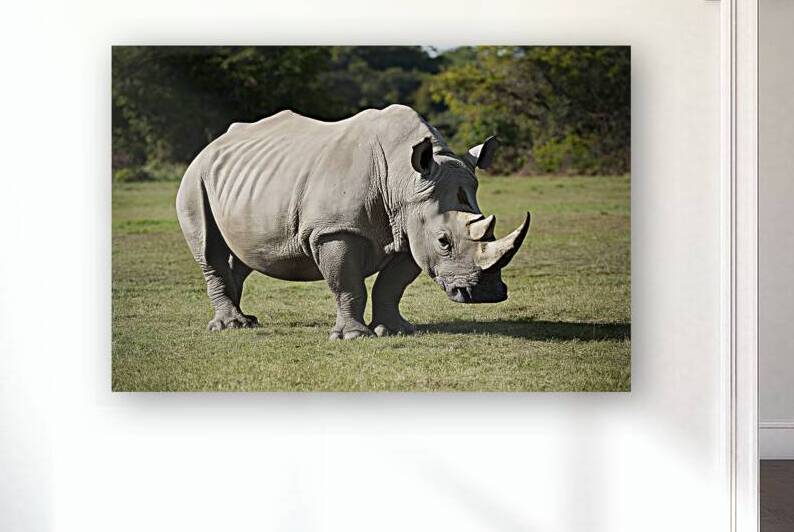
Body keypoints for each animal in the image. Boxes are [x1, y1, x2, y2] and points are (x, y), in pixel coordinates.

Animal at [176, 104, 530, 339]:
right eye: (444, 242)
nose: (487, 293)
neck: (404, 180)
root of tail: (211, 146)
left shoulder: (411, 228)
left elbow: (392, 285)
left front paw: (396, 330)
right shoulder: (335, 231)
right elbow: (347, 284)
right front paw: (354, 336)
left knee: (243, 253)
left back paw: (246, 321)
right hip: (195, 179)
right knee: (209, 250)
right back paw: (230, 326)